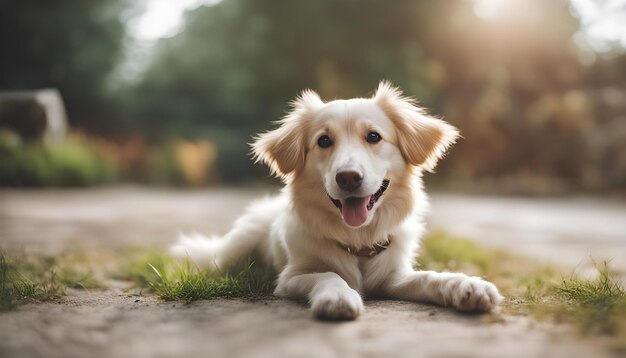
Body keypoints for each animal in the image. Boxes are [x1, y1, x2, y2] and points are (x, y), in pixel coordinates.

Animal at [168, 80, 500, 318]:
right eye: (324, 141)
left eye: (374, 136)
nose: (348, 177)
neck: (358, 242)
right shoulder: (290, 278)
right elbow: (328, 273)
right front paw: (338, 297)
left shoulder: (393, 277)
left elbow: (429, 277)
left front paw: (466, 285)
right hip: (237, 246)